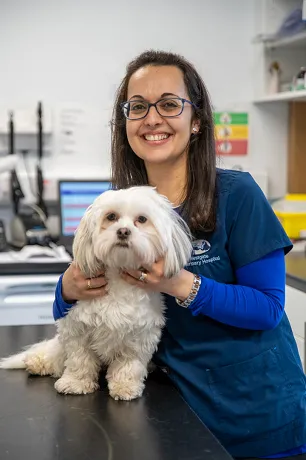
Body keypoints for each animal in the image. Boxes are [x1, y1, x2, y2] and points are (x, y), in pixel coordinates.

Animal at [0, 185, 191, 400]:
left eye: (142, 219)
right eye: (111, 217)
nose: (123, 231)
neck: (118, 276)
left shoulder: (141, 335)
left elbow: (129, 364)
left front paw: (125, 386)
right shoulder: (77, 328)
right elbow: (79, 359)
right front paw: (75, 382)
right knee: (55, 353)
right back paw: (37, 361)